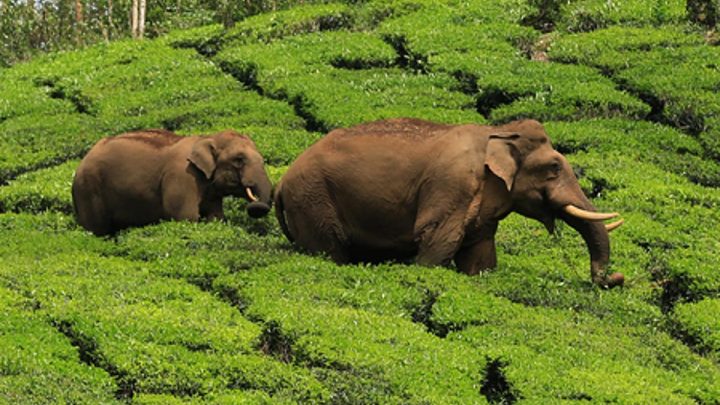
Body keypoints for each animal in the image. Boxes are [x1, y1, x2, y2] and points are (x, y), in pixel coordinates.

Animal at [72, 129, 273, 236]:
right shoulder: (182, 177)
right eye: (239, 160)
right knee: (97, 229)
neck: (207, 137)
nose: (254, 207)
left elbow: (215, 216)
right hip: (88, 189)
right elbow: (185, 216)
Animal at [275, 118, 625, 288]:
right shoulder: (451, 185)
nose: (615, 279)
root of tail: (280, 185)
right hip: (313, 201)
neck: (497, 131)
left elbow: (479, 256)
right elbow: (439, 239)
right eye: (554, 167)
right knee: (330, 250)